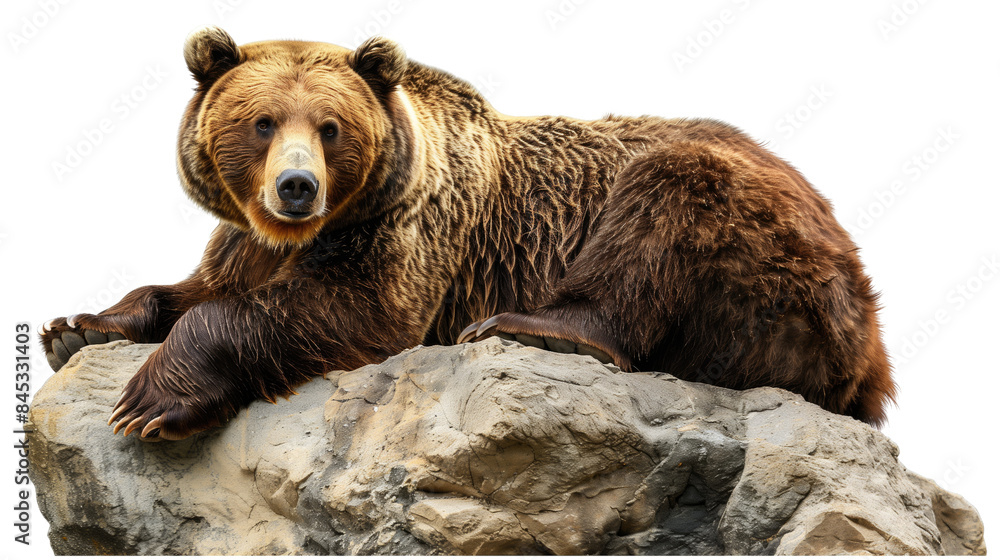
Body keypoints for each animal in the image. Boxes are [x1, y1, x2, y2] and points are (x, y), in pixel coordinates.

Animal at [40, 27, 895, 440]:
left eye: (329, 126)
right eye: (261, 122)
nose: (296, 187)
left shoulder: (414, 235)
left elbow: (347, 310)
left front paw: (149, 400)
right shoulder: (247, 241)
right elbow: (194, 287)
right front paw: (78, 325)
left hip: (770, 251)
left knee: (664, 206)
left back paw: (535, 326)